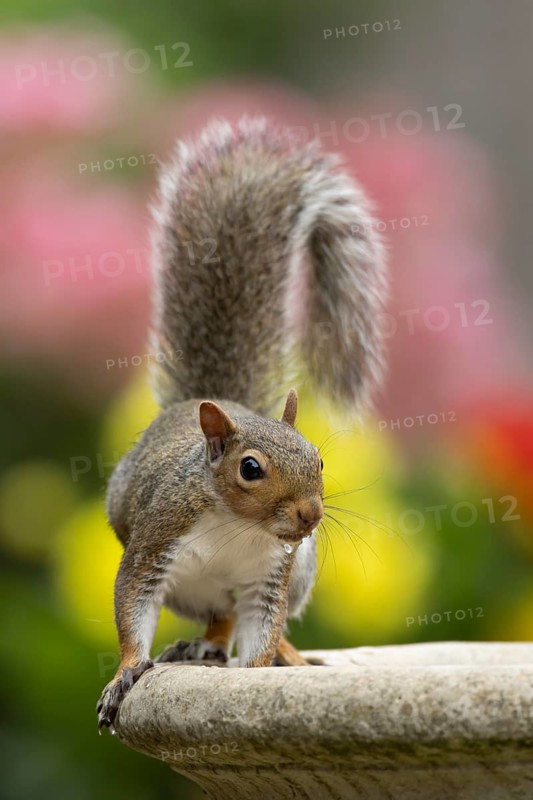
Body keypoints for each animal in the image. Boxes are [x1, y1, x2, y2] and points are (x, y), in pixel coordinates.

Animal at [97, 116, 387, 732]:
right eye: (249, 469)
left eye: (319, 458)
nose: (310, 515)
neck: (239, 527)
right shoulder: (156, 542)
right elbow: (133, 605)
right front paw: (126, 674)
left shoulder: (270, 578)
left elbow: (261, 631)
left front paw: (254, 684)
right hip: (189, 586)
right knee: (217, 617)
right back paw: (202, 645)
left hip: (300, 572)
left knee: (235, 622)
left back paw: (288, 657)